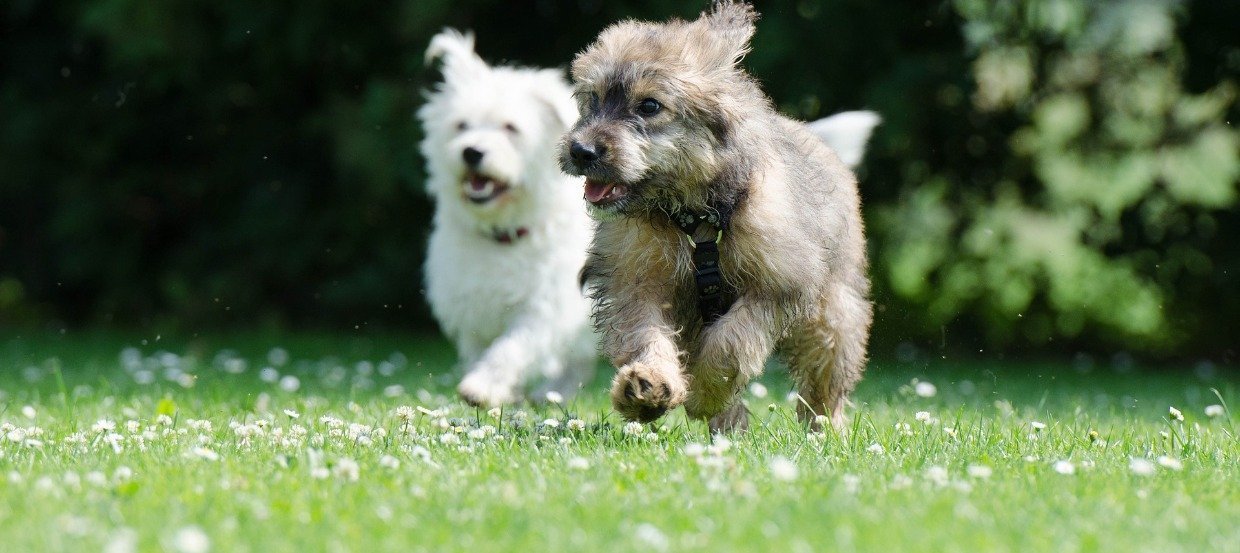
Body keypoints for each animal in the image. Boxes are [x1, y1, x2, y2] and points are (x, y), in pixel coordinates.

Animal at [416, 29, 595, 406]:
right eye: (461, 125)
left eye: (510, 128)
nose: (472, 152)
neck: (503, 231)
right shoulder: (472, 308)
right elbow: (479, 350)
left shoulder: (543, 308)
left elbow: (511, 348)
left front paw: (483, 386)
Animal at [562, 1, 872, 431]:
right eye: (593, 98)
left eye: (649, 106)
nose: (581, 150)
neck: (694, 220)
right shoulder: (636, 282)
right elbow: (645, 333)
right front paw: (648, 384)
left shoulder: (777, 285)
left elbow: (732, 343)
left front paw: (704, 393)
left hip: (834, 314)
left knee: (825, 381)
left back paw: (825, 431)